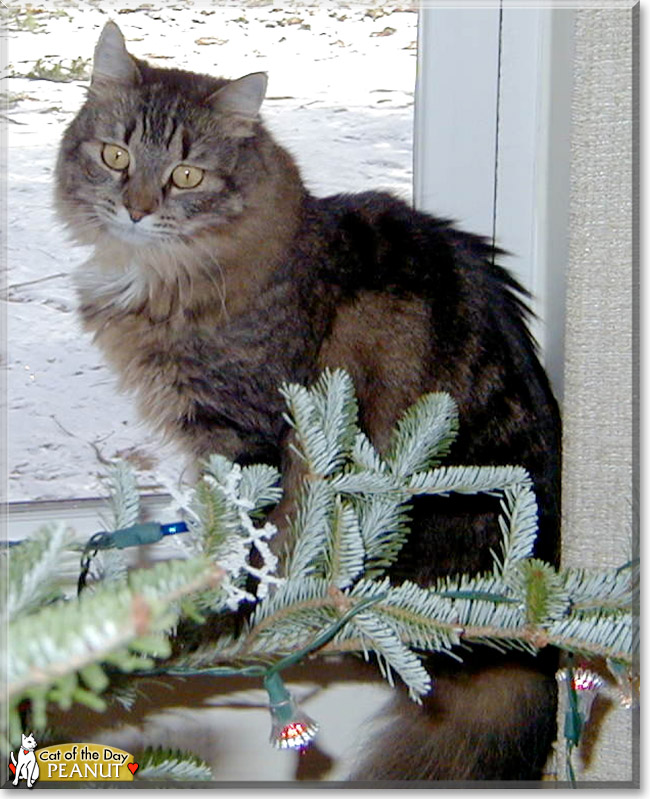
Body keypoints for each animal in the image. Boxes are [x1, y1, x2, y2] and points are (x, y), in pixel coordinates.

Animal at [55, 21, 560, 784]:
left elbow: (241, 541)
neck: (165, 271)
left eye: (186, 175)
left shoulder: (246, 429)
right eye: (116, 156)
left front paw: (214, 618)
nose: (137, 209)